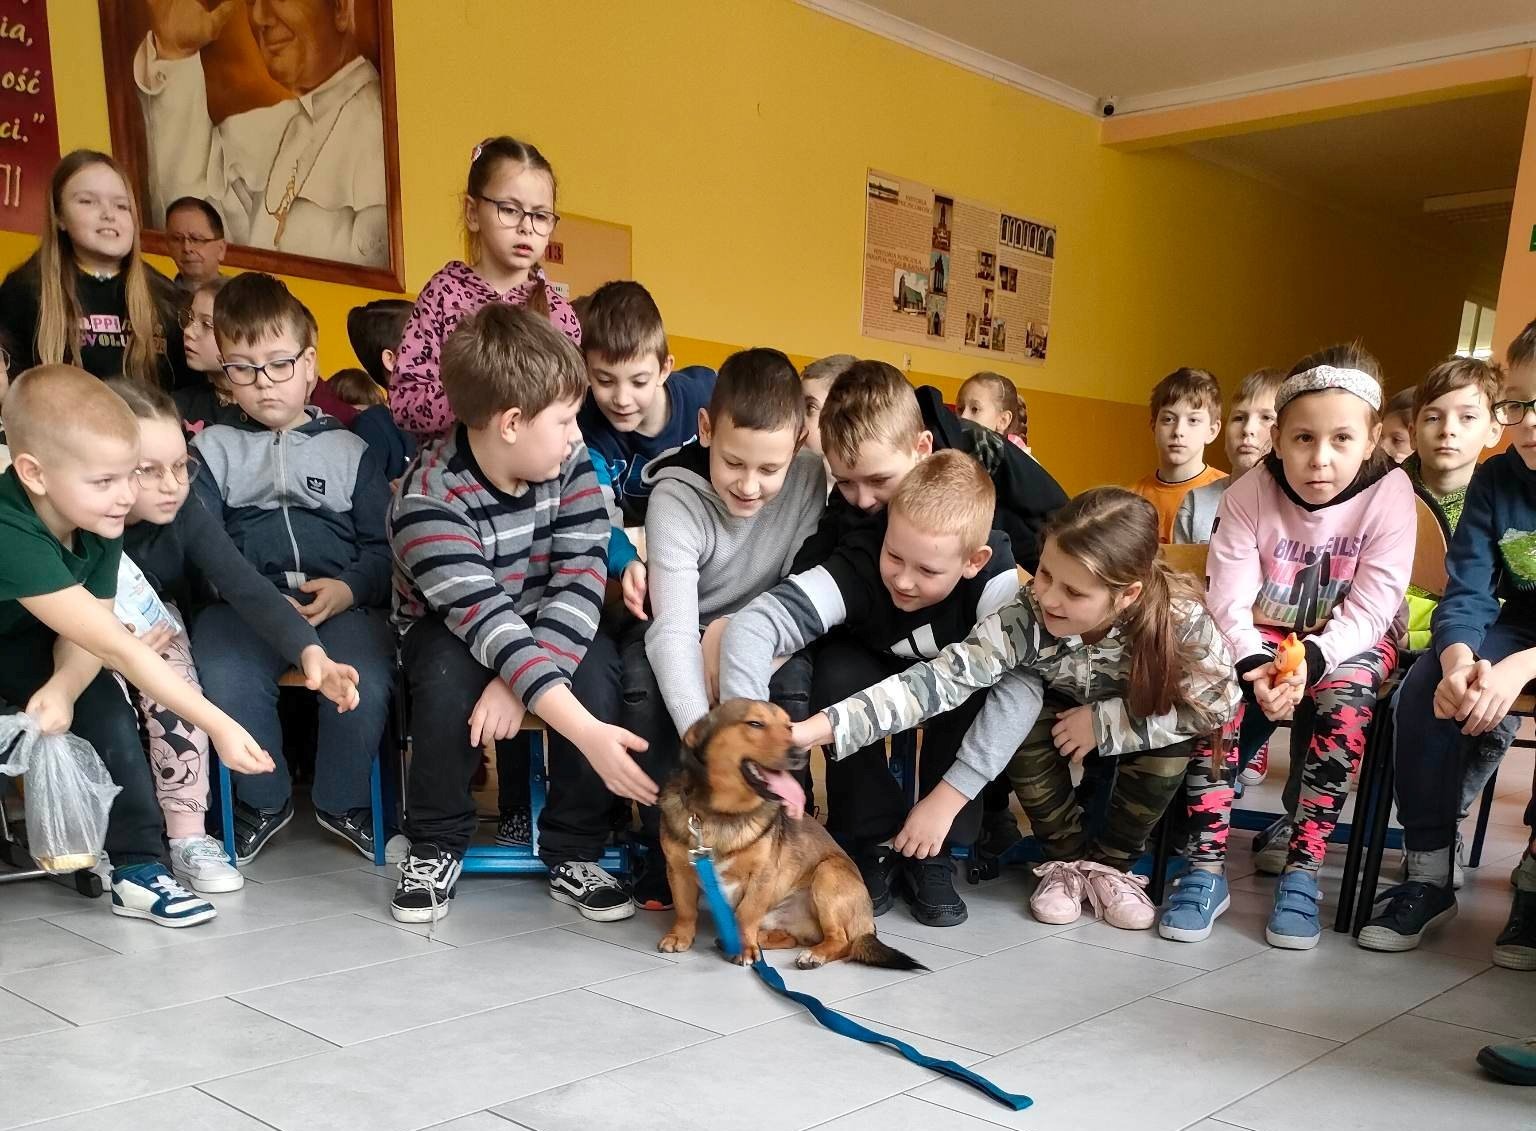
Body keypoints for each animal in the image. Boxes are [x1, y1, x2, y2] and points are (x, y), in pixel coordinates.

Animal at [651, 697, 915, 971]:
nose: (800, 753)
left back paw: (812, 955)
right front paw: (679, 936)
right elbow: (685, 909)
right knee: (791, 939)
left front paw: (744, 947)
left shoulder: (762, 875)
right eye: (754, 724)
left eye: (789, 727)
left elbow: (746, 913)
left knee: (842, 941)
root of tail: (867, 926)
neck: (724, 815)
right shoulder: (678, 870)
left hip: (827, 874)